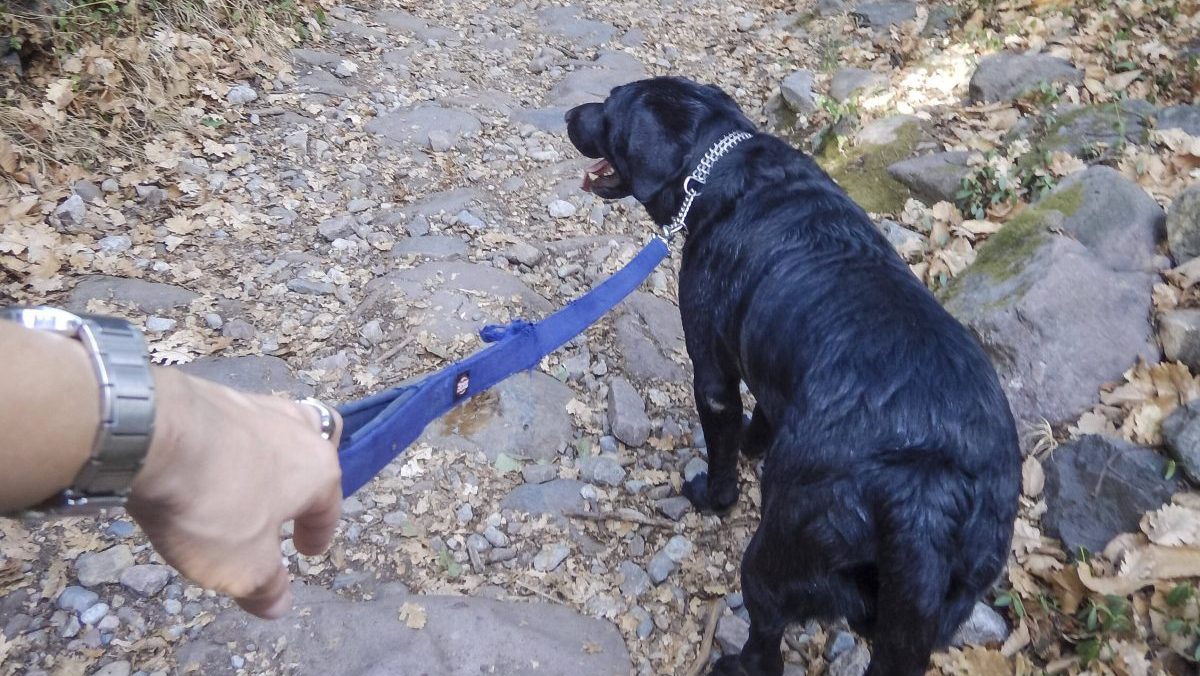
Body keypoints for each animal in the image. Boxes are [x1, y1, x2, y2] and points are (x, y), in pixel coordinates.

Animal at [566, 79, 1017, 676]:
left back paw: (733, 662)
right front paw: (754, 445)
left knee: (767, 639)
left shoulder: (713, 369)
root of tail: (925, 500)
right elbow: (762, 419)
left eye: (611, 103)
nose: (570, 113)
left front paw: (712, 493)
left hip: (777, 553)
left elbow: (722, 446)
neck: (719, 168)